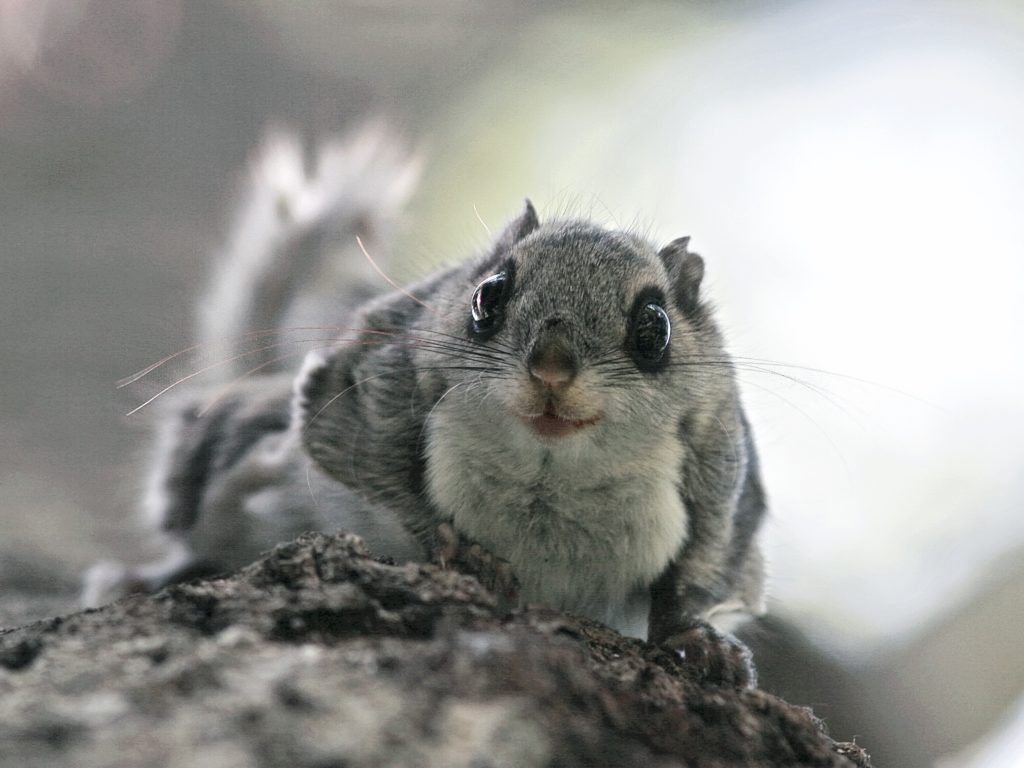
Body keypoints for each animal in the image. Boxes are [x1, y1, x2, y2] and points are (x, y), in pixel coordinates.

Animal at [83, 123, 765, 688]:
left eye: (655, 327)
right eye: (488, 296)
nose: (551, 368)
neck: (552, 467)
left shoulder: (722, 459)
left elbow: (711, 561)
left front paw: (697, 638)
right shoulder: (370, 385)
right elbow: (362, 461)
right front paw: (461, 551)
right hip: (223, 446)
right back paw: (153, 574)